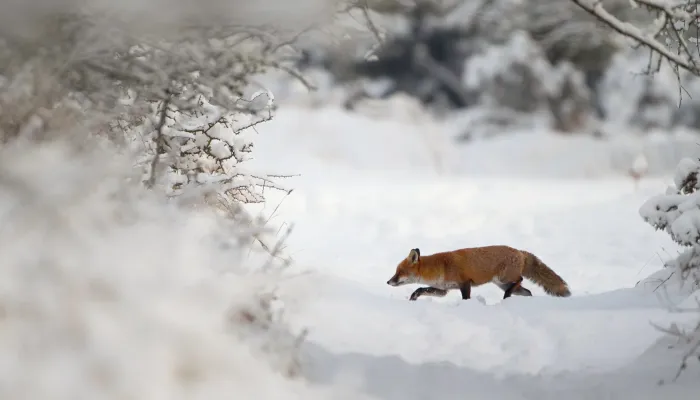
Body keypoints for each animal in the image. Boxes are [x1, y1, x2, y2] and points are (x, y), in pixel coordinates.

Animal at [386, 245, 572, 302]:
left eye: (399, 272)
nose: (388, 282)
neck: (440, 267)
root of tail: (520, 251)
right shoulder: (443, 289)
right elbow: (420, 289)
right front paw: (413, 298)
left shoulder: (465, 282)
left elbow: (466, 298)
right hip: (503, 283)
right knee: (528, 291)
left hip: (504, 278)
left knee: (519, 280)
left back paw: (507, 296)